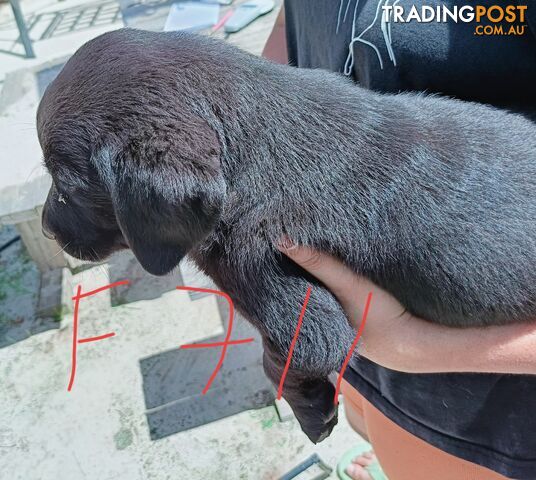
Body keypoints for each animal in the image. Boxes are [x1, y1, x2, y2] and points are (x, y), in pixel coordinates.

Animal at [37, 29, 536, 442]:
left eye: (65, 189)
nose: (44, 229)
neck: (248, 156)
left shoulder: (290, 301)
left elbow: (281, 360)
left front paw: (310, 411)